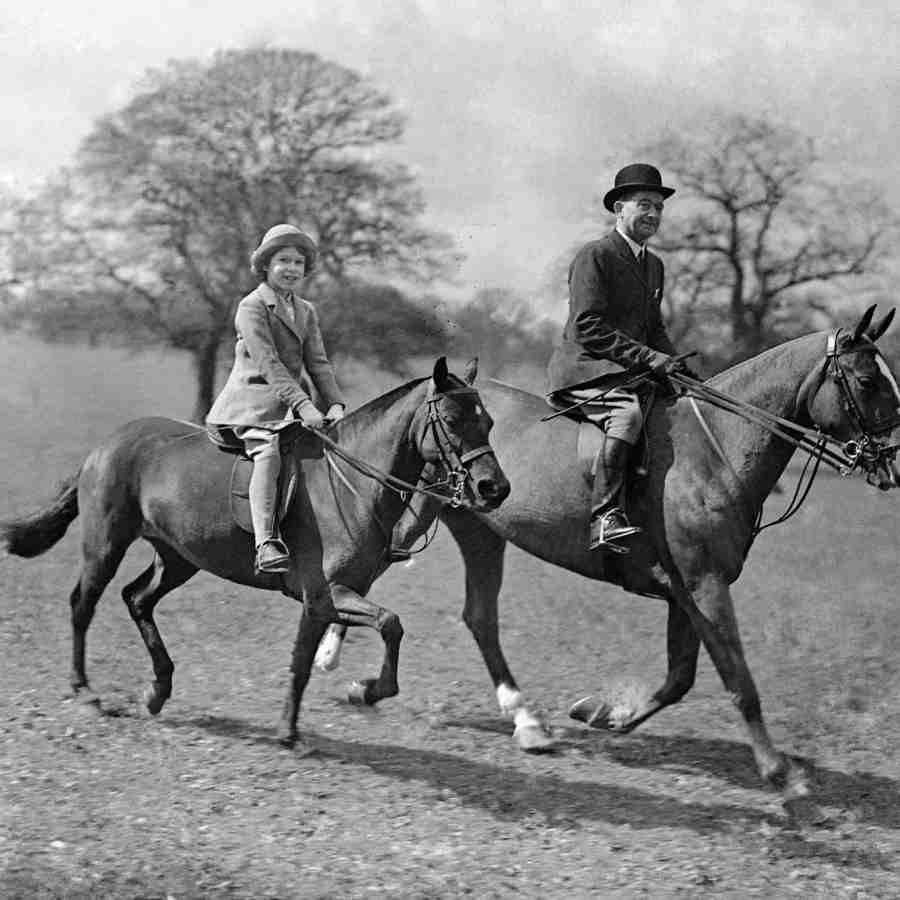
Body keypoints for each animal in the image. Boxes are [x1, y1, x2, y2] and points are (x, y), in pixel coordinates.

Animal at [0, 356, 506, 748]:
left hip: (178, 557)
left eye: (489, 422)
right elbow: (350, 641)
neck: (353, 484)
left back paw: (157, 690)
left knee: (137, 599)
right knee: (83, 604)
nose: (494, 489)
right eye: (453, 421)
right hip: (106, 544)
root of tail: (104, 446)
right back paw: (85, 691)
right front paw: (322, 714)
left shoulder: (336, 598)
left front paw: (346, 700)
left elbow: (355, 639)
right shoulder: (324, 595)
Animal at [314, 310, 900, 788]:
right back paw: (336, 657)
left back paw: (524, 721)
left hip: (480, 530)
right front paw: (780, 771)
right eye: (868, 380)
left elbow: (680, 678)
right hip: (430, 512)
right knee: (377, 565)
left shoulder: (687, 590)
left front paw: (604, 715)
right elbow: (737, 677)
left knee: (476, 615)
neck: (715, 449)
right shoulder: (704, 584)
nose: (890, 463)